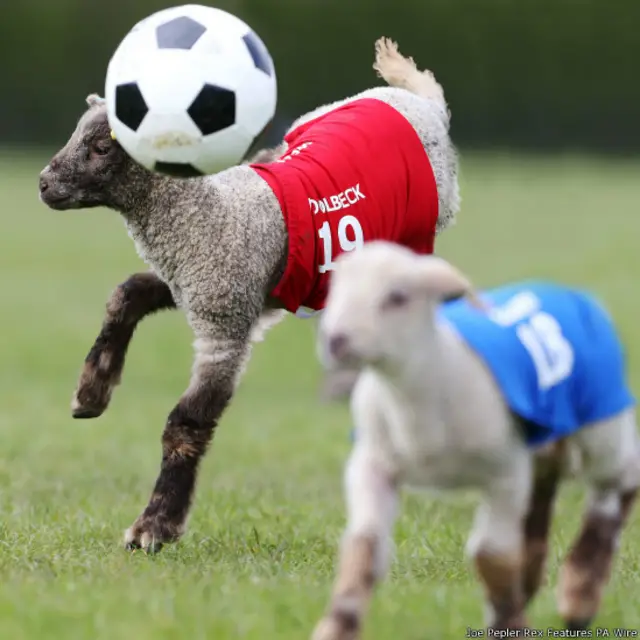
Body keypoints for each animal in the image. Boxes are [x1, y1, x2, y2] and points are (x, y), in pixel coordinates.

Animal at [37, 38, 460, 554]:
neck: (207, 215)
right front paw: (90, 393)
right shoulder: (205, 283)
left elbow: (185, 424)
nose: (43, 183)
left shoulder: (225, 325)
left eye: (100, 147)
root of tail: (425, 104)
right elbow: (127, 293)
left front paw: (153, 528)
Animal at [312, 241, 640, 639]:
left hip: (601, 425)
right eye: (335, 290)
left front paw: (509, 624)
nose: (335, 340)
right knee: (540, 504)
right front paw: (337, 626)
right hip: (540, 452)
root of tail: (568, 292)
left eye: (397, 296)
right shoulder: (373, 465)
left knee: (617, 486)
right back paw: (532, 583)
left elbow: (491, 555)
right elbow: (365, 545)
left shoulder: (503, 474)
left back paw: (579, 598)